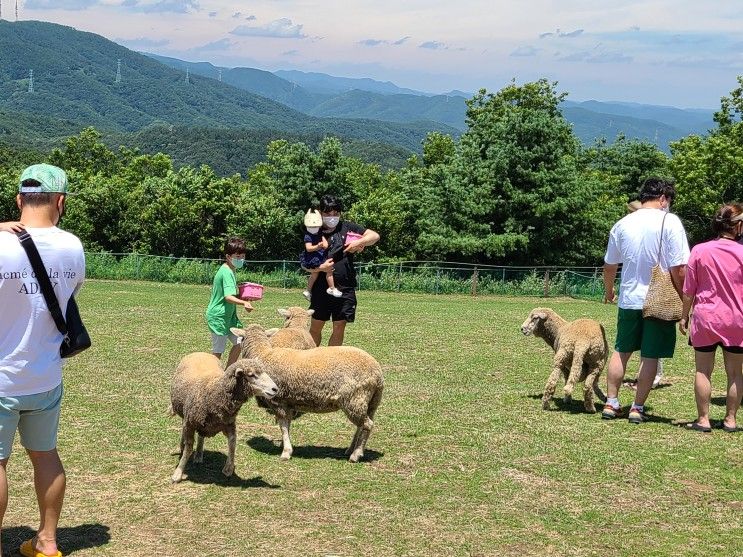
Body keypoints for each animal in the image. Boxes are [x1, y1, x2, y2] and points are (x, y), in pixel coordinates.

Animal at [231, 324, 384, 462]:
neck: (263, 355)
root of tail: (377, 373)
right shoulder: (288, 402)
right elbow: (287, 425)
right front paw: (285, 445)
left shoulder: (278, 401)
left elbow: (283, 426)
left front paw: (286, 452)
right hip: (370, 402)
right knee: (362, 425)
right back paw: (351, 449)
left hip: (355, 399)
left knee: (367, 425)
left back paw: (356, 454)